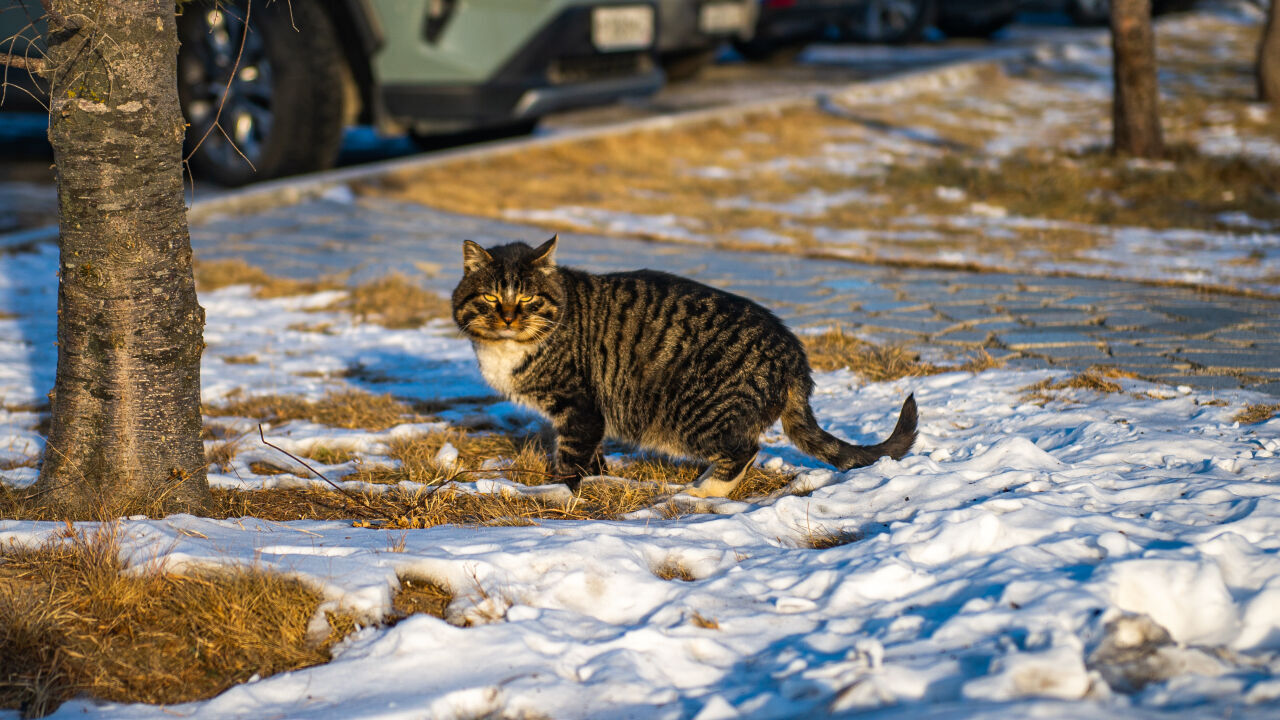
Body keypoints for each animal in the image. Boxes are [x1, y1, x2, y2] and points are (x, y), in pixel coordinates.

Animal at [455, 235, 916, 491]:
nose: (508, 317)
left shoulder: (579, 406)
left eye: (529, 298)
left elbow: (570, 456)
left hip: (693, 415)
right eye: (492, 297)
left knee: (744, 450)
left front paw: (560, 494)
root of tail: (794, 355)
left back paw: (704, 492)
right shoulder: (588, 416)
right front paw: (599, 477)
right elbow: (591, 453)